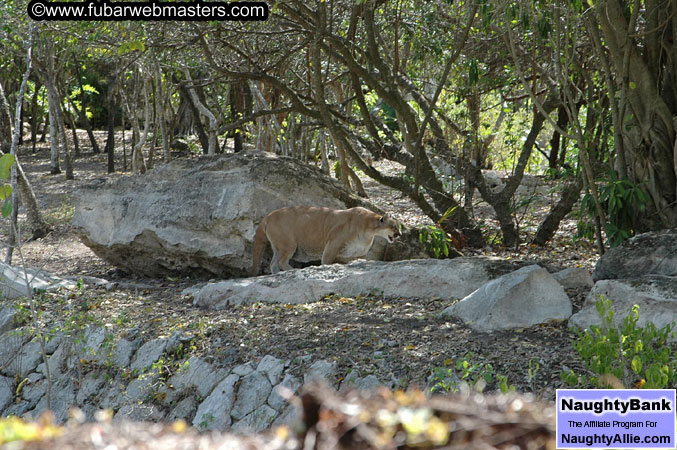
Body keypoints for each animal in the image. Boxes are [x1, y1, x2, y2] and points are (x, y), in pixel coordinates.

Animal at [251, 207, 398, 276]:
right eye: (394, 226)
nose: (399, 234)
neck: (369, 230)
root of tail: (269, 215)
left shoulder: (359, 254)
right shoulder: (332, 245)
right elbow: (326, 261)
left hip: (278, 246)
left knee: (274, 263)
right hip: (288, 244)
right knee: (281, 261)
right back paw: (293, 270)